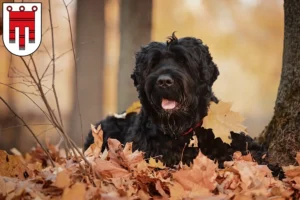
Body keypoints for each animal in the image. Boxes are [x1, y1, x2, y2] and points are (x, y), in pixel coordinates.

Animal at [85, 33, 284, 178]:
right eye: (154, 63)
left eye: (183, 61)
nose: (164, 81)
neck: (182, 132)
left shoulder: (235, 140)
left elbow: (252, 156)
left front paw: (275, 172)